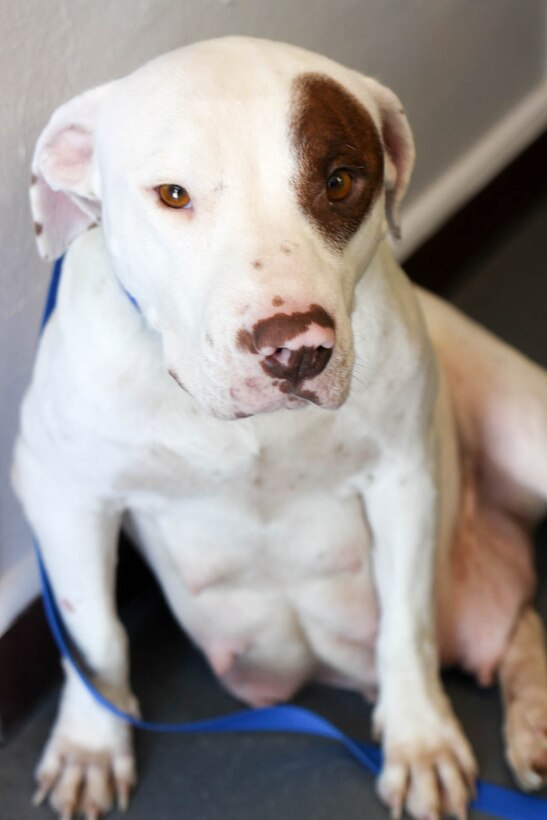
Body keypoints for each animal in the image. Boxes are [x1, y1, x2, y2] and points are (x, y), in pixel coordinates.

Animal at [11, 38, 547, 820]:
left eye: (339, 182)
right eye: (173, 195)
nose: (295, 347)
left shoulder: (405, 478)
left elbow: (406, 625)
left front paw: (419, 739)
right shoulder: (65, 496)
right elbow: (95, 637)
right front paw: (90, 746)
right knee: (519, 623)